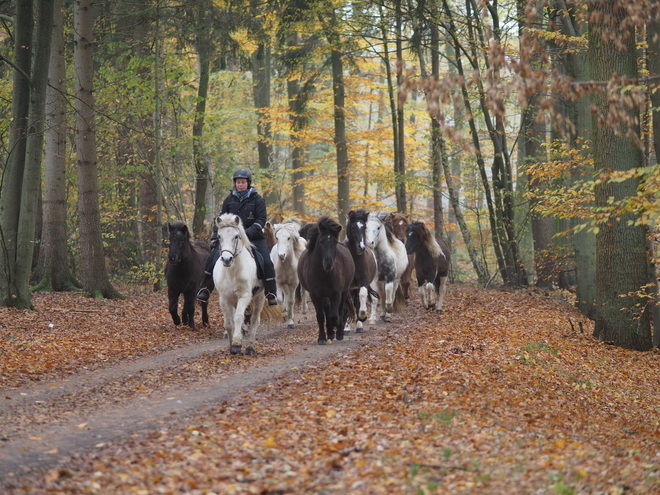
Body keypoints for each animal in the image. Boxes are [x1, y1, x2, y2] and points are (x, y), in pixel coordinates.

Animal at [211, 213, 262, 356]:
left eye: (236, 236)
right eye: (219, 236)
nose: (227, 259)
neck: (232, 271)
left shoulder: (244, 296)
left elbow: (239, 317)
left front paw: (237, 344)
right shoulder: (224, 299)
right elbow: (229, 322)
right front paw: (230, 344)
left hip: (259, 297)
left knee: (255, 320)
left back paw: (250, 347)